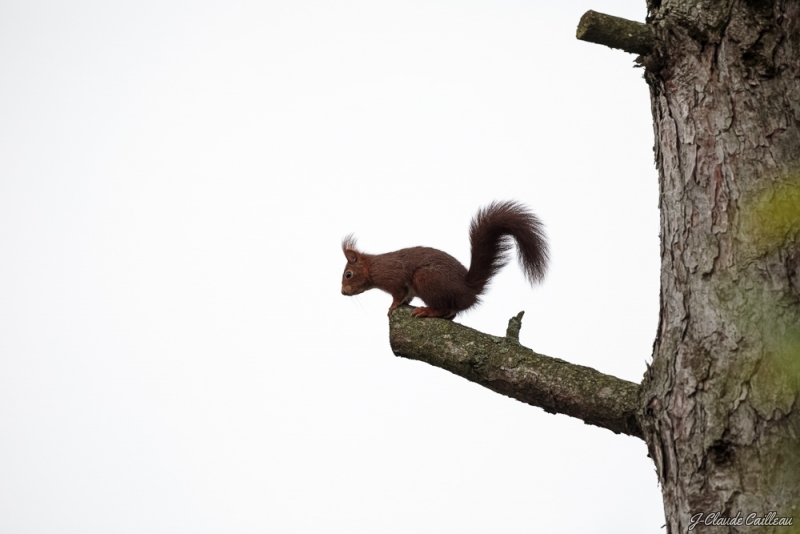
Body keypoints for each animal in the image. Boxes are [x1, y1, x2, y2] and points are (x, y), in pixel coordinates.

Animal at [340, 200, 548, 318]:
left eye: (348, 274)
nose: (342, 292)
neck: (373, 267)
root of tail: (468, 290)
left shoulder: (393, 277)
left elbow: (399, 294)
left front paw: (393, 306)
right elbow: (407, 295)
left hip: (425, 278)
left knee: (445, 309)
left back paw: (428, 311)